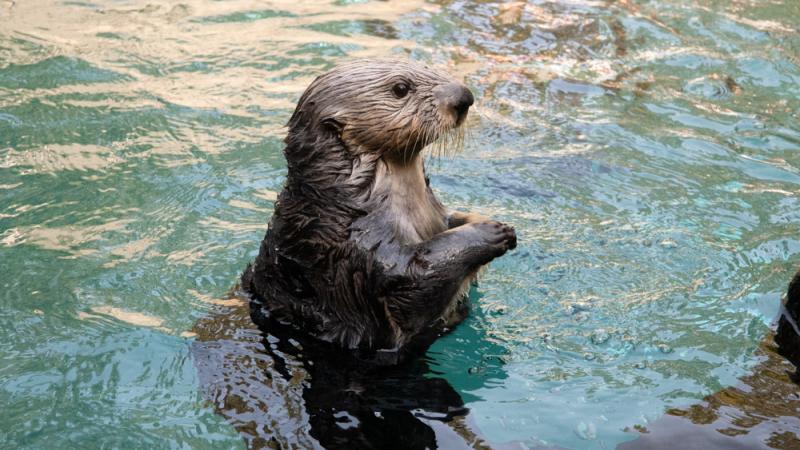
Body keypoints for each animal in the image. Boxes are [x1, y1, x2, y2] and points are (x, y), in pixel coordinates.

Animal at [242, 59, 516, 362]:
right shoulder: (365, 249)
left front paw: (487, 219)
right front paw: (491, 232)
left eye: (427, 66)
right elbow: (417, 277)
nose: (464, 97)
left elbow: (450, 220)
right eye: (401, 88)